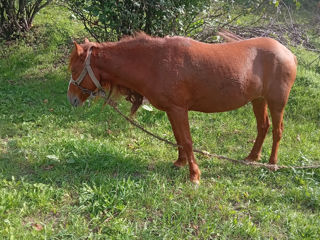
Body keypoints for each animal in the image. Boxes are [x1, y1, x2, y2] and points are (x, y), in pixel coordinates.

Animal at [67, 32, 298, 184]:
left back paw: (272, 163)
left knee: (277, 130)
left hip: (277, 102)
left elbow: (187, 140)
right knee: (263, 127)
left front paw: (194, 174)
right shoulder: (171, 110)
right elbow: (178, 137)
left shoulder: (179, 109)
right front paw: (180, 162)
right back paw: (252, 158)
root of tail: (288, 53)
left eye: (74, 69)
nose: (71, 99)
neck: (155, 62)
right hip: (258, 99)